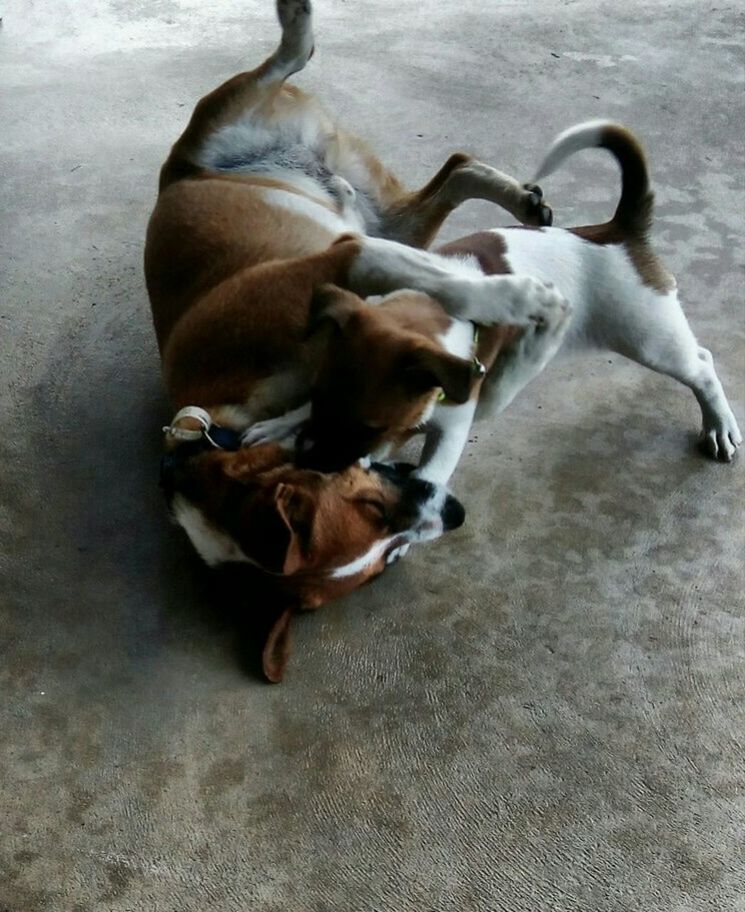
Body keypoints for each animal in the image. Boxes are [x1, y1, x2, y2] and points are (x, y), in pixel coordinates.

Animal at [145, 0, 564, 676]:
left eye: (370, 508)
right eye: (383, 551)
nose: (453, 514)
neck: (216, 426)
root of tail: (178, 170)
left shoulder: (335, 262)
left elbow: (438, 281)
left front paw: (522, 298)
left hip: (231, 126)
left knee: (283, 63)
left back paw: (296, 25)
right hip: (389, 216)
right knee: (455, 168)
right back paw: (520, 199)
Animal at [276, 119, 740, 484]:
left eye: (369, 427)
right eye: (318, 399)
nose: (307, 461)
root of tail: (616, 231)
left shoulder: (451, 430)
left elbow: (431, 469)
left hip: (648, 337)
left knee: (701, 364)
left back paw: (720, 427)